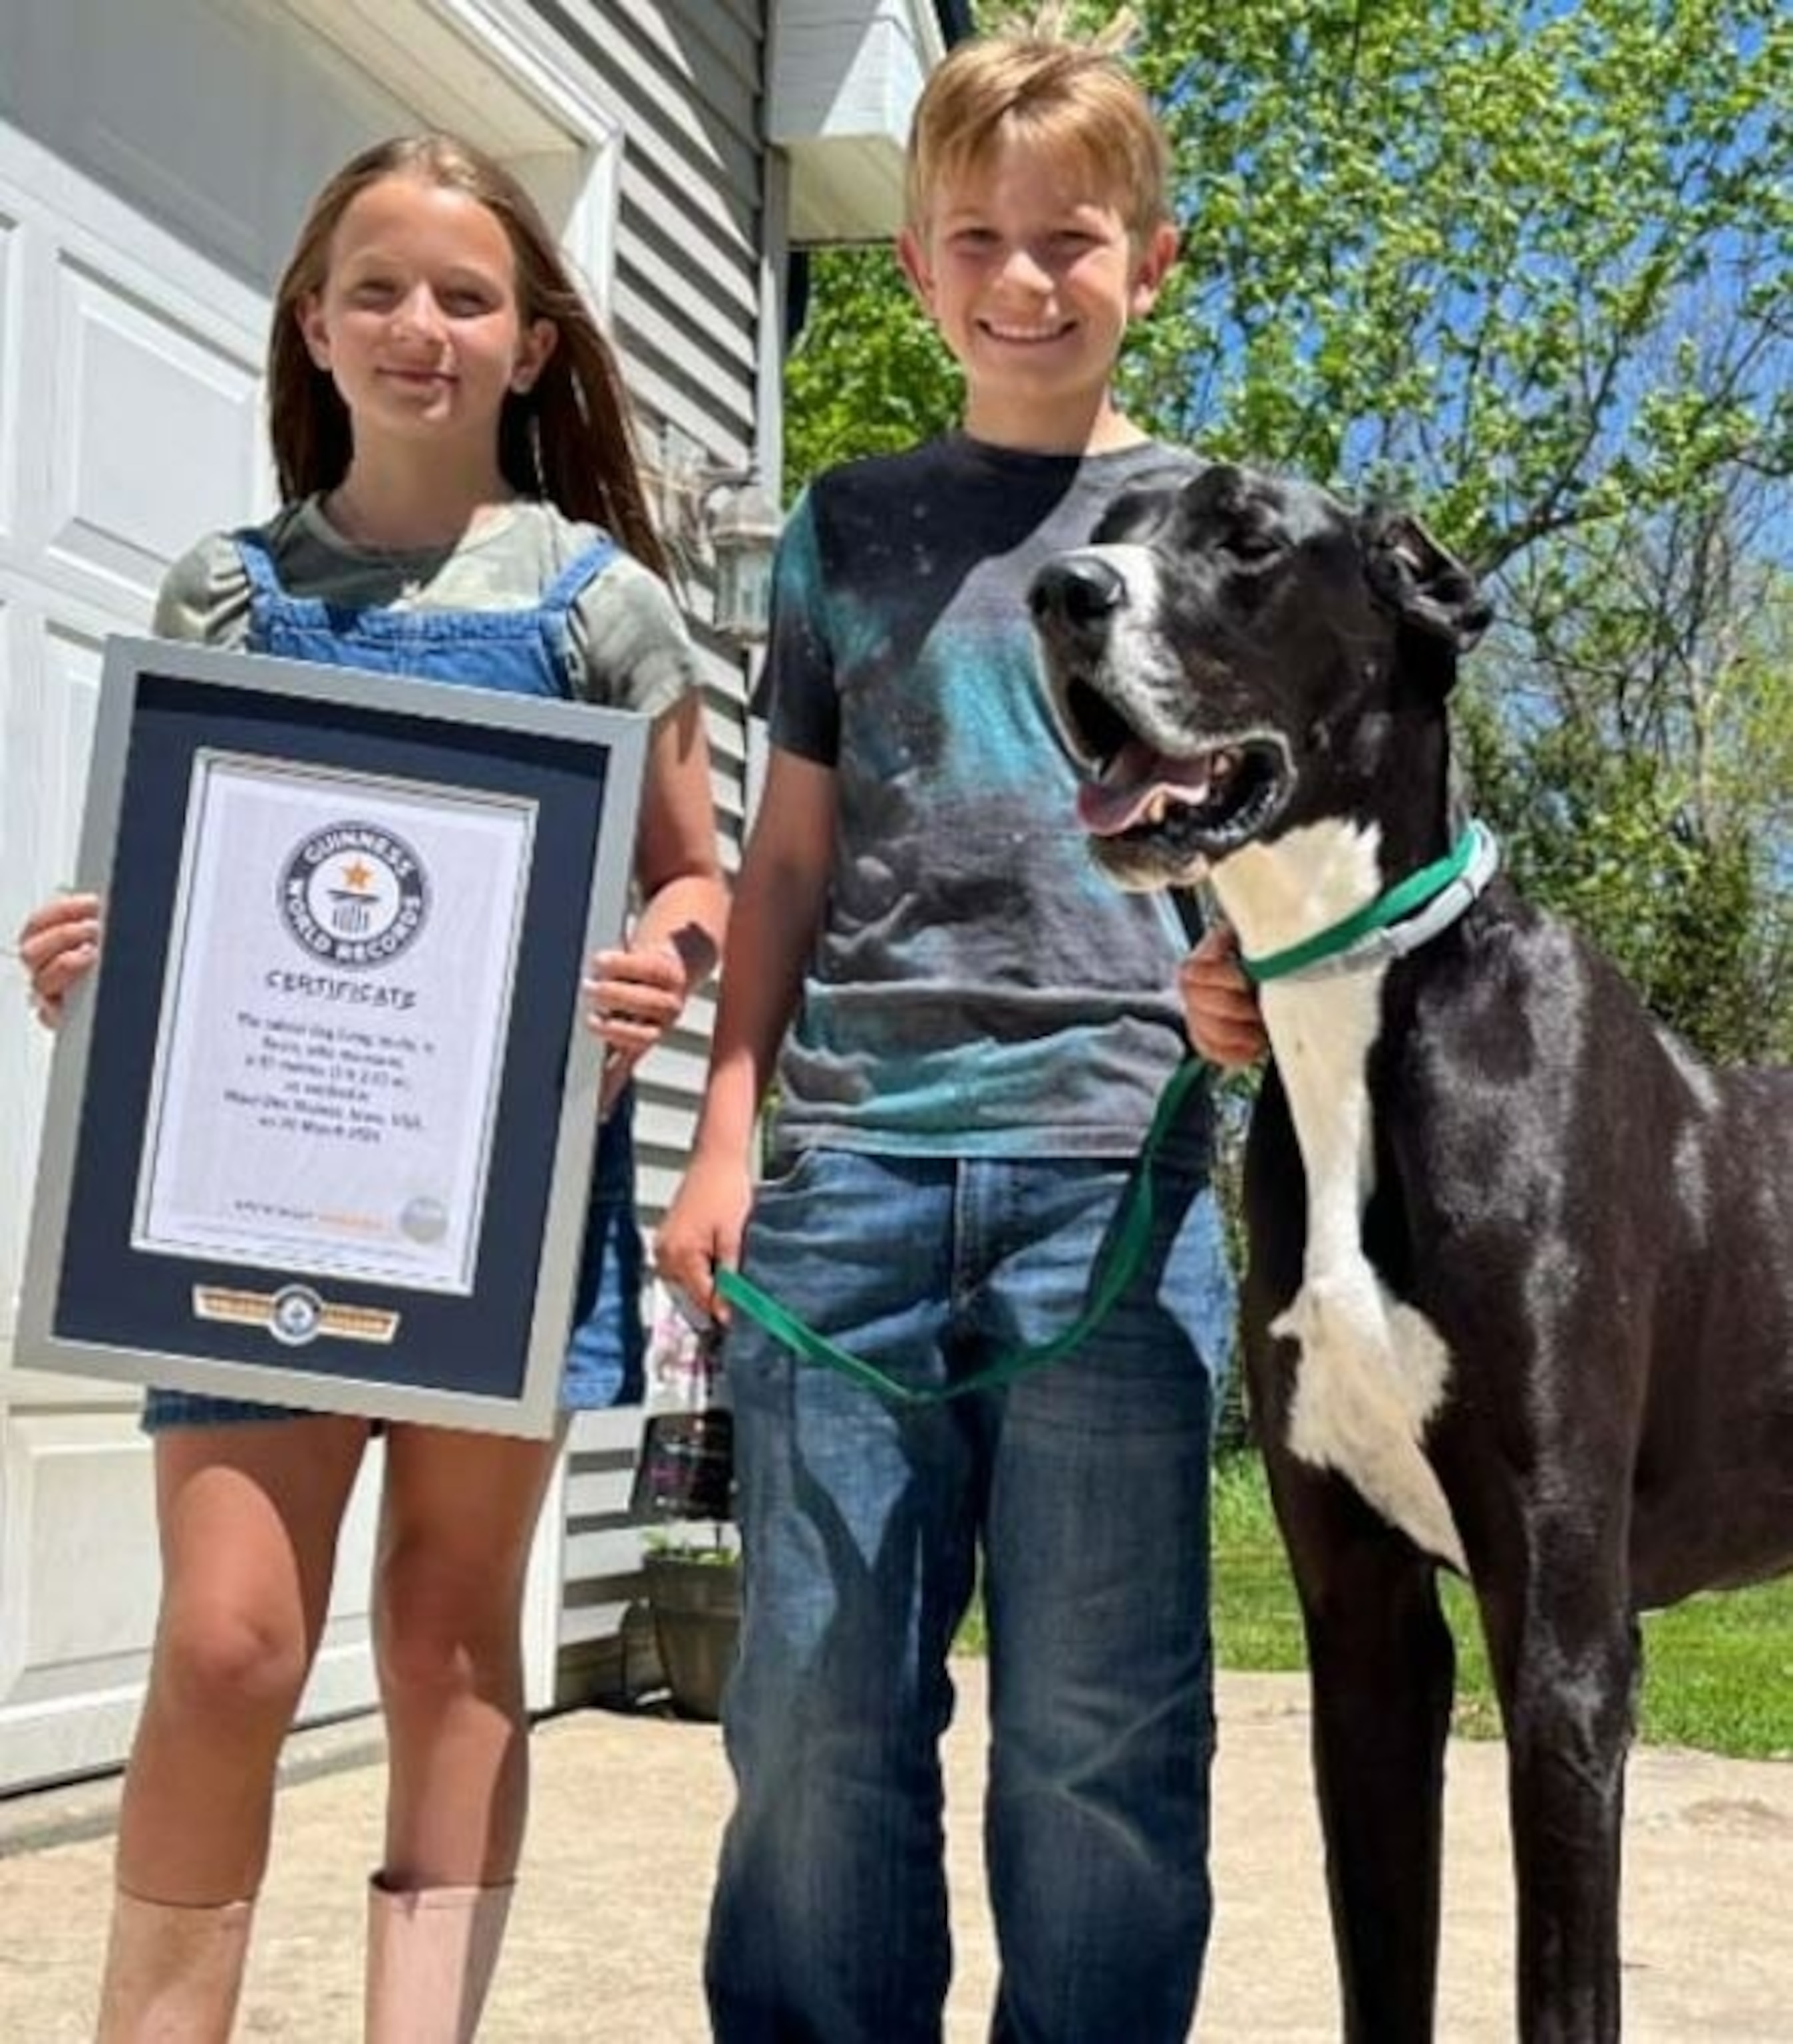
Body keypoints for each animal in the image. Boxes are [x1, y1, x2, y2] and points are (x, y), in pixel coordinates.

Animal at [1030, 464, 1790, 2044]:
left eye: (1250, 538)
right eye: (1112, 529)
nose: (1060, 593)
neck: (1357, 991)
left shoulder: (1565, 1637)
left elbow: (1562, 1988)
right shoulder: (1365, 1624)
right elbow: (1380, 1966)